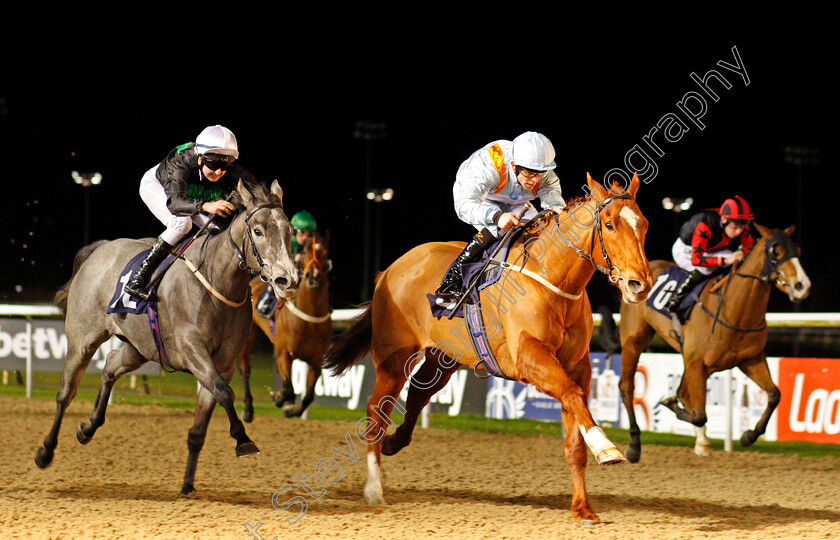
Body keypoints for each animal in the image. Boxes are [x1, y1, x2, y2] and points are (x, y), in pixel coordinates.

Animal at [34, 180, 300, 494]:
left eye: (290, 231)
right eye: (257, 231)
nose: (288, 280)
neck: (217, 283)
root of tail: (101, 248)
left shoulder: (222, 363)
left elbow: (202, 422)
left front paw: (187, 485)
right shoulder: (191, 349)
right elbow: (224, 391)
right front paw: (243, 440)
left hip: (138, 348)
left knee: (110, 365)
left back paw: (88, 427)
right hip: (82, 340)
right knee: (65, 393)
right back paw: (45, 451)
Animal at [238, 230, 334, 420]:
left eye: (325, 252)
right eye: (304, 251)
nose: (313, 276)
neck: (309, 320)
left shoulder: (316, 361)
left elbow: (308, 396)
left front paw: (291, 408)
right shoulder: (284, 353)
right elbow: (289, 388)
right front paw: (278, 398)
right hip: (248, 334)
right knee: (245, 370)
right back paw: (248, 409)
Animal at [324, 173, 652, 524]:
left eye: (643, 224)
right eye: (609, 224)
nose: (640, 284)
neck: (553, 280)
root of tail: (389, 270)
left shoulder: (576, 366)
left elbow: (575, 425)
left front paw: (583, 507)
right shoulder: (529, 358)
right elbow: (573, 397)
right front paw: (607, 447)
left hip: (443, 359)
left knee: (418, 394)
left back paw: (393, 443)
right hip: (393, 357)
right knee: (377, 411)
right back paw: (374, 488)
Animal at [612, 224, 812, 464]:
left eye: (797, 250)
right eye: (776, 251)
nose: (802, 286)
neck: (733, 310)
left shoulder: (750, 358)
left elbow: (774, 394)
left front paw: (748, 436)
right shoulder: (697, 363)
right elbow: (698, 414)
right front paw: (672, 405)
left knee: (682, 390)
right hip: (634, 342)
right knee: (627, 386)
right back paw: (634, 445)